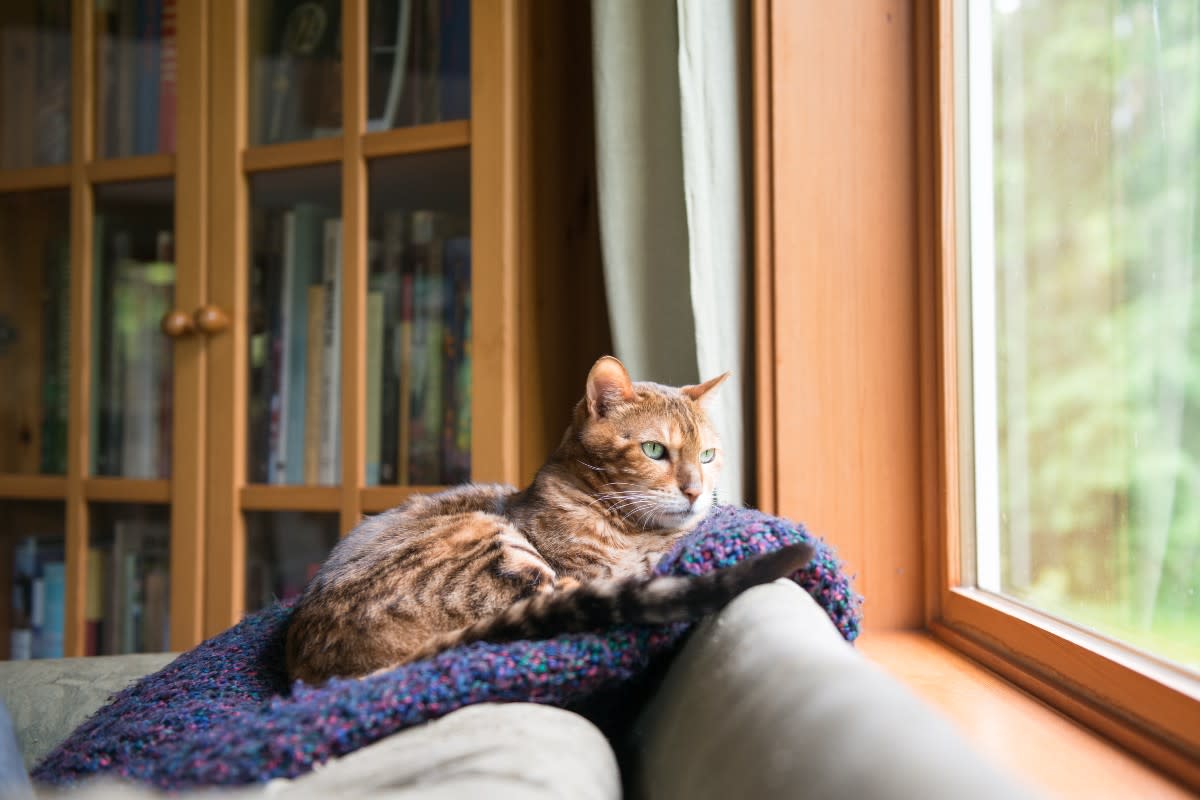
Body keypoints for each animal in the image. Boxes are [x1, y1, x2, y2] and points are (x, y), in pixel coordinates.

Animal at [285, 355, 816, 681]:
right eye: (653, 450)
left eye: (707, 455)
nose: (696, 490)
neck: (629, 529)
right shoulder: (578, 567)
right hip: (493, 547)